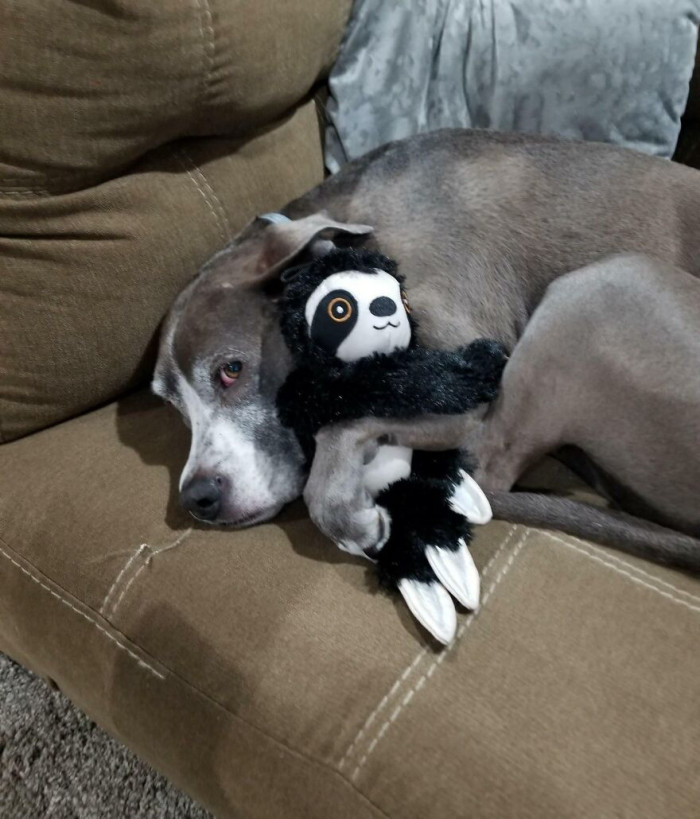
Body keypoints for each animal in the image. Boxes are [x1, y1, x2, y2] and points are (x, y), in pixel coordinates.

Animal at [153, 131, 700, 572]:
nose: (196, 498)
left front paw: (348, 516)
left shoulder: (463, 377)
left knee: (484, 464)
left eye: (231, 369)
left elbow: (346, 420)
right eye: (169, 405)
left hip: (601, 287)